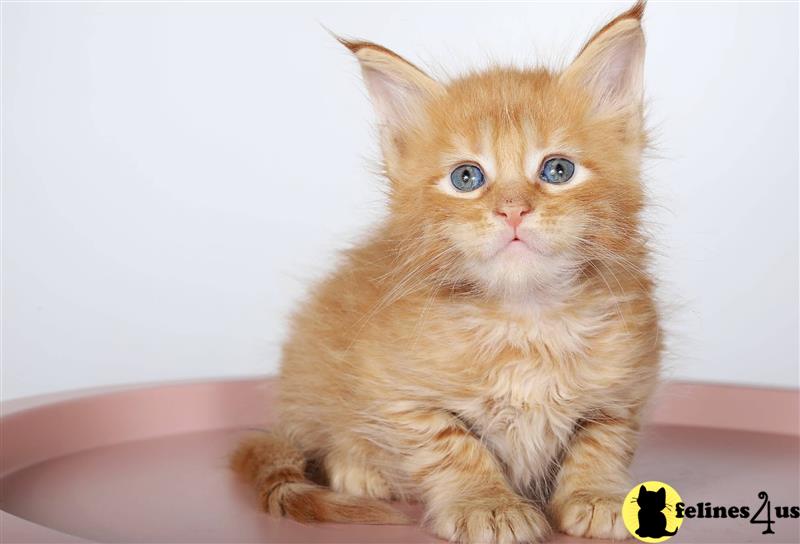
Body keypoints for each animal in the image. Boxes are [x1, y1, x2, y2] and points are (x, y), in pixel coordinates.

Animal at [233, 2, 664, 540]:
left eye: (557, 170)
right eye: (466, 178)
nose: (513, 210)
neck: (525, 321)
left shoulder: (626, 385)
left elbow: (602, 439)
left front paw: (597, 494)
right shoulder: (399, 391)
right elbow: (451, 446)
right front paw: (488, 505)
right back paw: (360, 468)